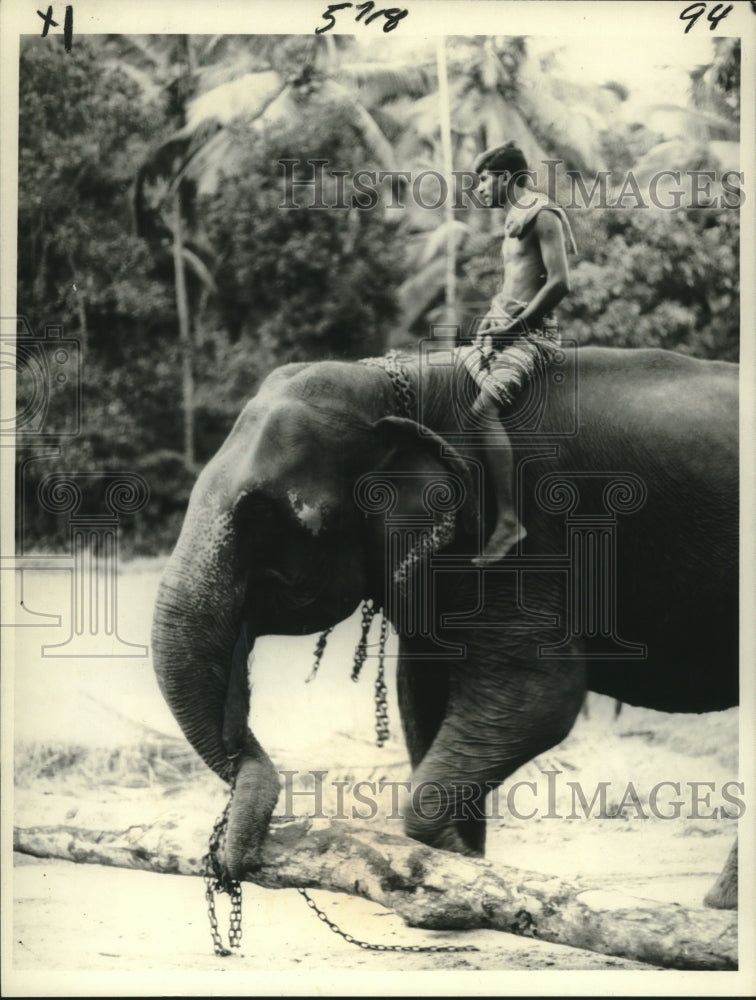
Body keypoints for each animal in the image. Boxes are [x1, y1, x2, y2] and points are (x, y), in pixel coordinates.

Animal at [151, 342, 736, 908]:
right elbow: (422, 693)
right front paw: (462, 868)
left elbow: (537, 700)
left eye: (278, 520)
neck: (404, 385)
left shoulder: (523, 535)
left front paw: (453, 869)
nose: (233, 864)